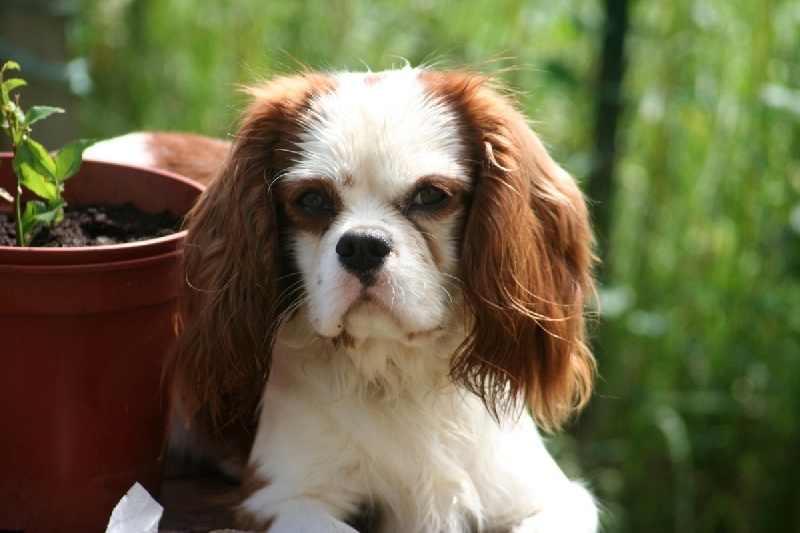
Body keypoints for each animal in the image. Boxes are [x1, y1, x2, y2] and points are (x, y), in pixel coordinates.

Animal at [90, 64, 596, 528]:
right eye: (312, 200)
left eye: (431, 196)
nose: (362, 245)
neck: (395, 372)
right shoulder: (283, 500)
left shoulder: (552, 500)